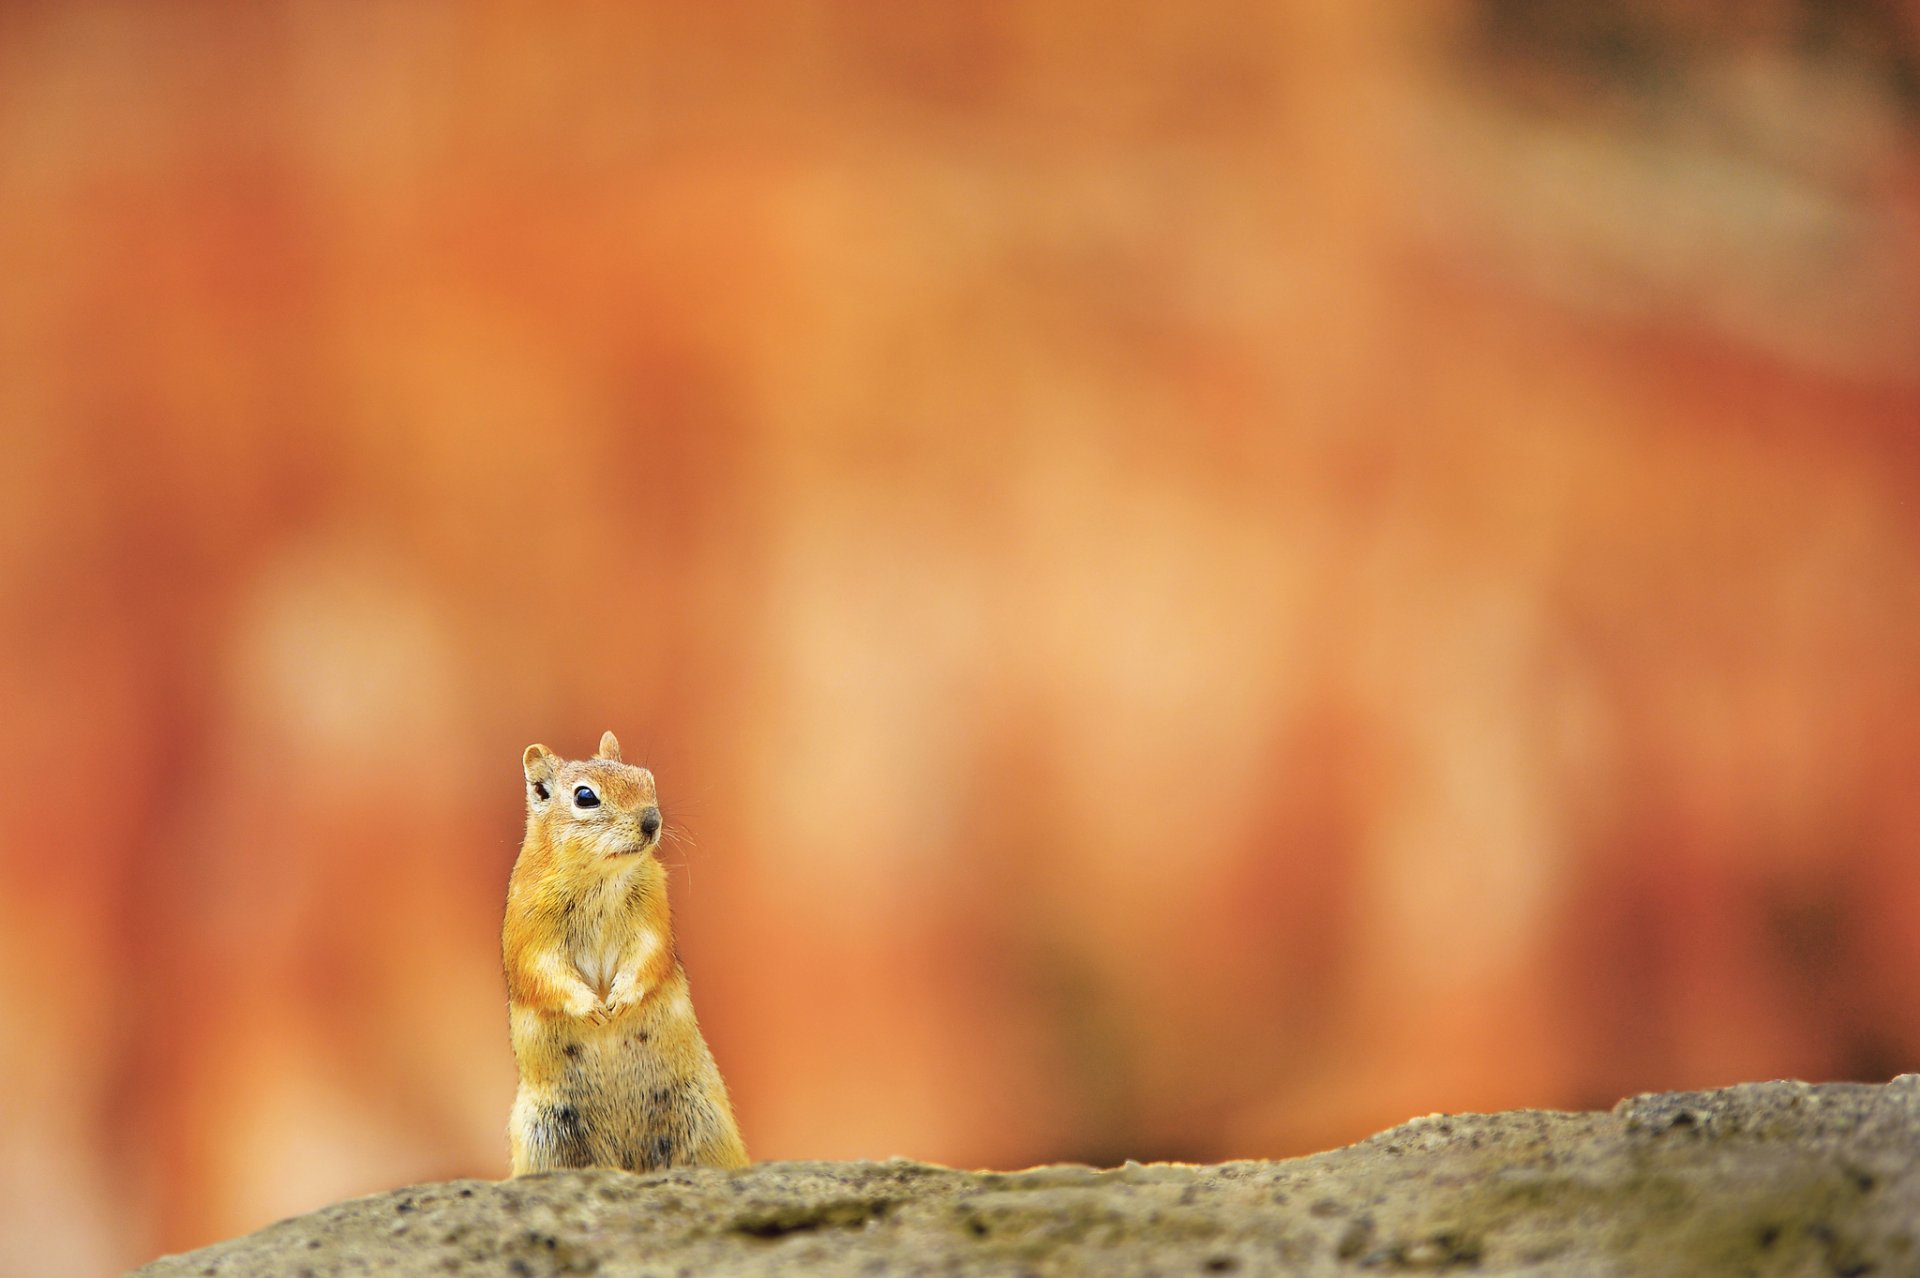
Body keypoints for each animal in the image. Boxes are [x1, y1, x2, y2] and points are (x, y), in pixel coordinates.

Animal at [502, 730, 748, 1175]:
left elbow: (647, 957)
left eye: (646, 778)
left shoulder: (653, 917)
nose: (652, 820)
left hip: (704, 1119)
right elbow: (545, 972)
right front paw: (592, 1009)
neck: (601, 876)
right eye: (585, 796)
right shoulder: (528, 935)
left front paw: (620, 999)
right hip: (545, 1135)